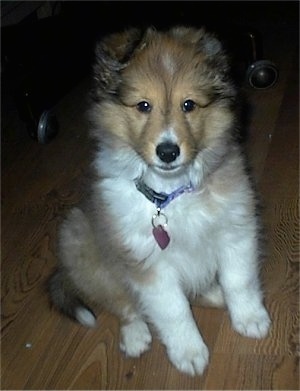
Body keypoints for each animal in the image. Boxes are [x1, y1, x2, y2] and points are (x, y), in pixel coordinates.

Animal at [48, 26, 270, 376]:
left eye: (189, 105)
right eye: (143, 106)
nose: (168, 152)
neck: (171, 195)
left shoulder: (235, 229)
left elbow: (240, 279)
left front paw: (250, 317)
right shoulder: (147, 263)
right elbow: (173, 311)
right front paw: (189, 352)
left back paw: (215, 294)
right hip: (81, 241)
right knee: (124, 304)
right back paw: (136, 334)